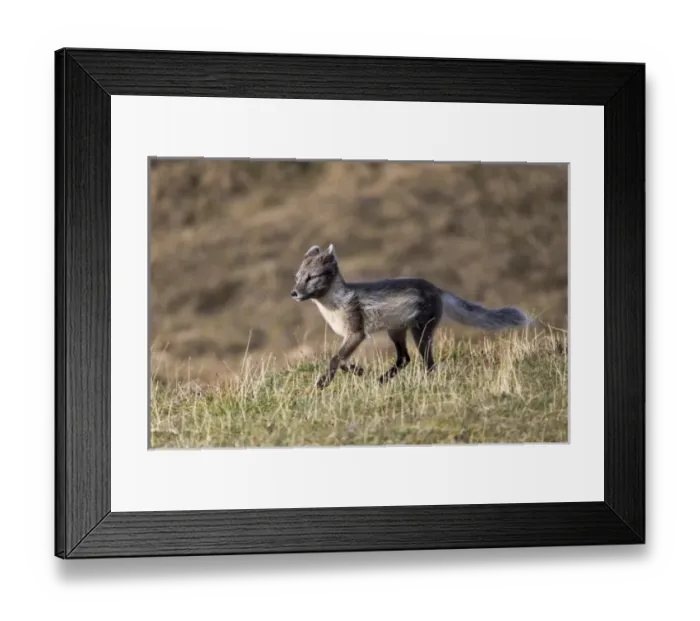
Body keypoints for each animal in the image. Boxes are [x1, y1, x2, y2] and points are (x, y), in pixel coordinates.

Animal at [291, 243, 534, 390]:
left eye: (311, 277)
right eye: (297, 277)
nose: (293, 293)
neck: (335, 306)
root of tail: (437, 289)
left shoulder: (357, 333)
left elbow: (335, 359)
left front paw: (322, 383)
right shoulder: (349, 337)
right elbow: (341, 360)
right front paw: (358, 371)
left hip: (421, 331)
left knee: (428, 364)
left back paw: (423, 383)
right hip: (396, 331)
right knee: (404, 358)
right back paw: (382, 380)